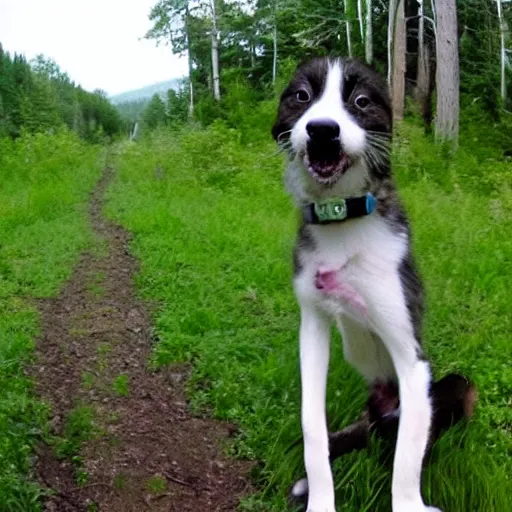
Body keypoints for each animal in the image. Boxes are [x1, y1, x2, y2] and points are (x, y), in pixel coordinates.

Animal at [272, 56, 472, 512]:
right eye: (301, 96)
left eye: (362, 101)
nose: (322, 130)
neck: (343, 222)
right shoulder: (312, 325)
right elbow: (312, 430)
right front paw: (319, 498)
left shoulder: (411, 359)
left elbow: (407, 462)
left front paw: (412, 503)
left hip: (454, 386)